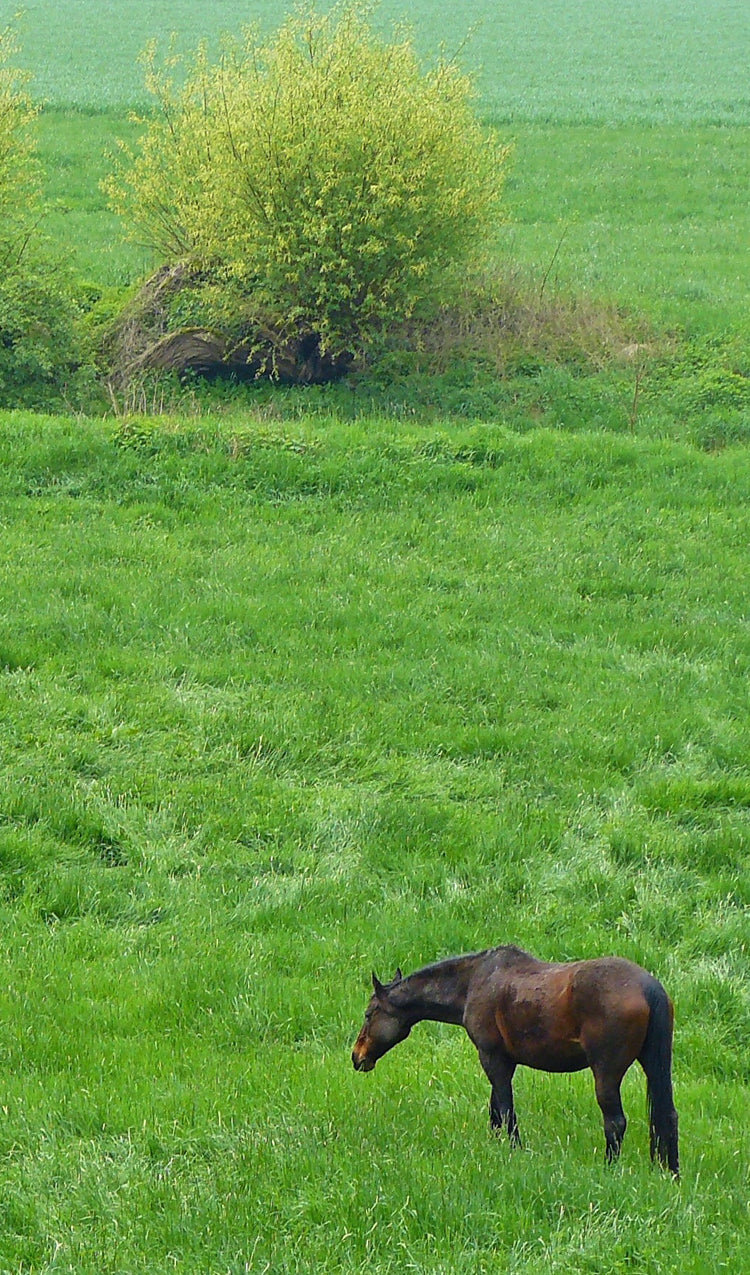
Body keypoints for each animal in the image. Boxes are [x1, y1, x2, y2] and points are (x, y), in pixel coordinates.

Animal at [352, 945, 679, 1176]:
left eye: (369, 1014)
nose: (357, 1056)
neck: (472, 984)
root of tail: (648, 986)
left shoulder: (493, 1059)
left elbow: (505, 1112)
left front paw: (513, 1151)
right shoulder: (502, 1063)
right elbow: (496, 1111)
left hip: (606, 1074)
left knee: (615, 1122)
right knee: (667, 1117)